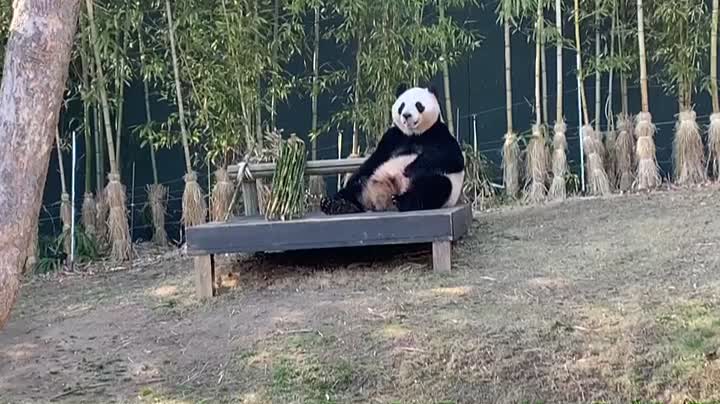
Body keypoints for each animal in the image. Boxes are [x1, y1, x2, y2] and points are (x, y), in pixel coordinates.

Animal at [320, 83, 466, 215]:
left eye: (418, 105)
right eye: (402, 106)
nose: (406, 115)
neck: (414, 135)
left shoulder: (439, 134)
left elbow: (452, 158)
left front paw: (409, 168)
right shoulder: (393, 137)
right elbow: (375, 158)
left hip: (440, 181)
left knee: (434, 187)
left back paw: (403, 201)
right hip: (370, 178)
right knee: (355, 184)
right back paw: (337, 205)